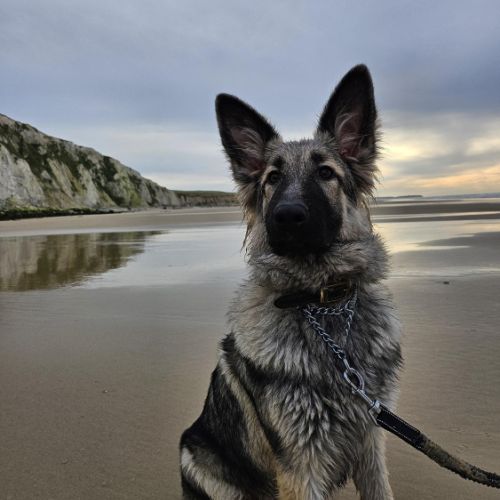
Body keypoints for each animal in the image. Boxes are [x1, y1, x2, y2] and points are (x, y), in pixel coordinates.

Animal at [179, 64, 402, 500]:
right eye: (273, 179)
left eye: (325, 173)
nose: (286, 217)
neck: (321, 302)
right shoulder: (300, 468)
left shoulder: (371, 444)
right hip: (196, 455)